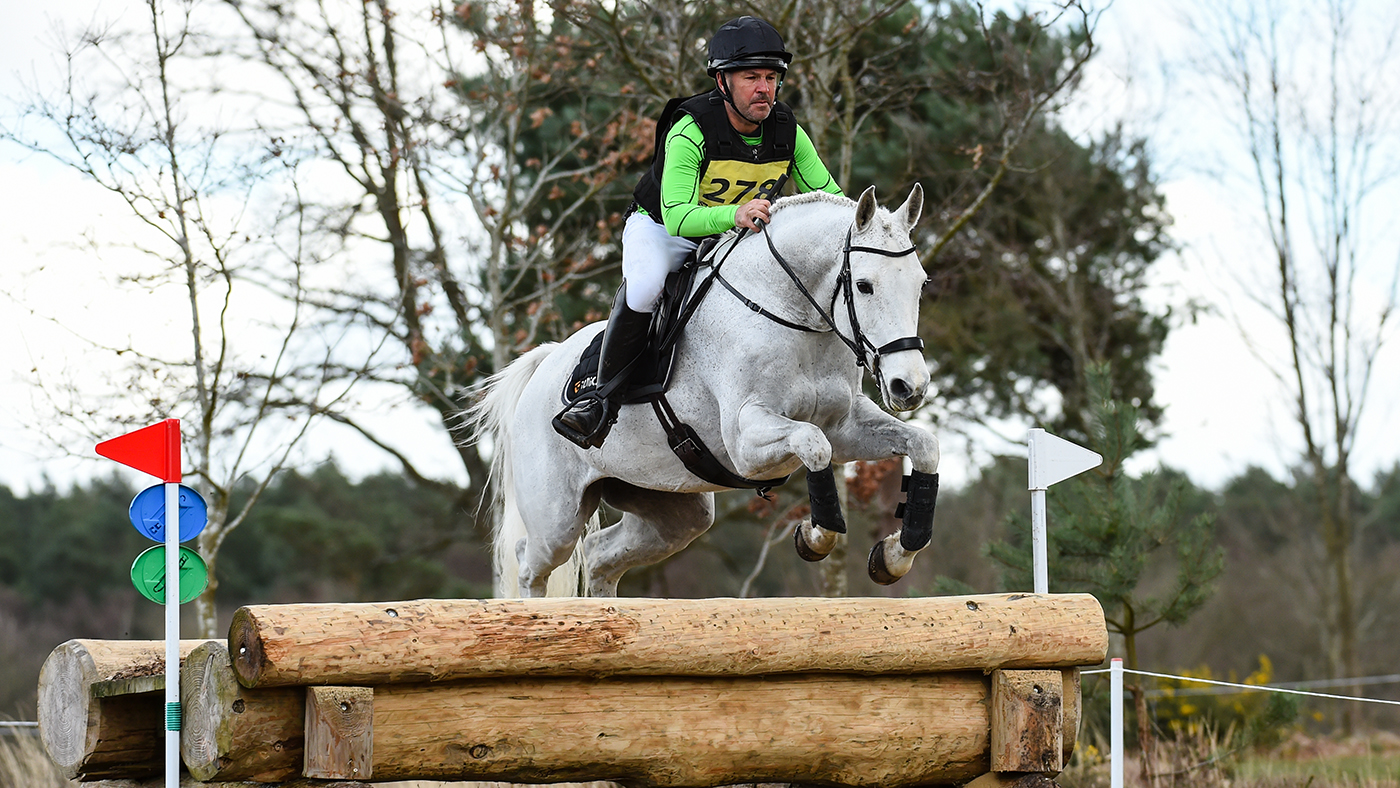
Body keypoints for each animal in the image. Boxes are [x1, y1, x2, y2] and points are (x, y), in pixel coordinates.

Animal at [467, 185, 941, 598]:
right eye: (864, 285)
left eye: (921, 283)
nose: (909, 387)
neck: (793, 314)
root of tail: (545, 362)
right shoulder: (745, 442)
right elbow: (813, 443)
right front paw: (816, 535)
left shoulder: (845, 426)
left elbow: (924, 446)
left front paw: (896, 554)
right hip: (556, 518)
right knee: (530, 564)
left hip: (671, 509)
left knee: (602, 556)